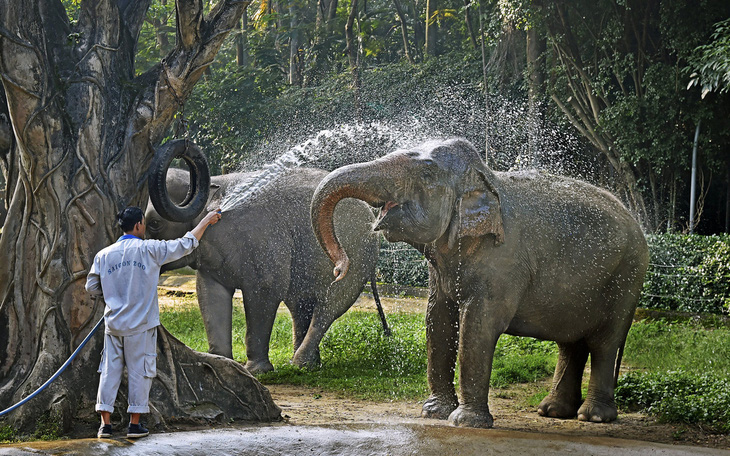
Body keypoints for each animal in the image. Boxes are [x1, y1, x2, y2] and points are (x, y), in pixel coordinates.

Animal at [142, 166, 382, 372]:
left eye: (154, 223)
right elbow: (209, 294)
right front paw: (220, 361)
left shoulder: (263, 242)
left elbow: (265, 289)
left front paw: (256, 371)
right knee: (299, 305)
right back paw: (307, 364)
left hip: (355, 258)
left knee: (328, 307)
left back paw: (299, 364)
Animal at [310, 138, 644, 428]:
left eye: (427, 174)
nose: (339, 268)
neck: (486, 179)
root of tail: (636, 221)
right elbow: (438, 319)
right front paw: (433, 414)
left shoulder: (504, 261)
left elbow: (479, 325)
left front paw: (464, 421)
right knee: (570, 343)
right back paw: (552, 411)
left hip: (627, 277)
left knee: (604, 342)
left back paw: (594, 416)